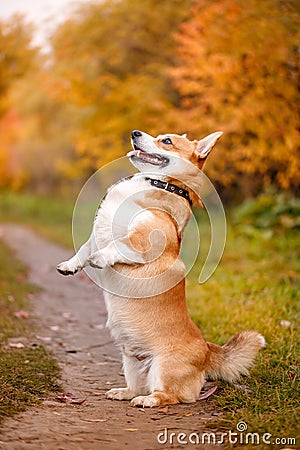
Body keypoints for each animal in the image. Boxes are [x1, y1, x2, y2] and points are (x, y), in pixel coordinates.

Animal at [56, 129, 264, 408]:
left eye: (166, 141)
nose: (134, 132)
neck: (157, 184)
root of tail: (207, 350)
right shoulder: (95, 236)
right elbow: (84, 249)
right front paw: (70, 266)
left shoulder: (142, 241)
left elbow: (117, 245)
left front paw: (100, 258)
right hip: (130, 362)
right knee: (136, 386)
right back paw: (123, 392)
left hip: (163, 367)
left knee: (170, 396)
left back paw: (148, 401)